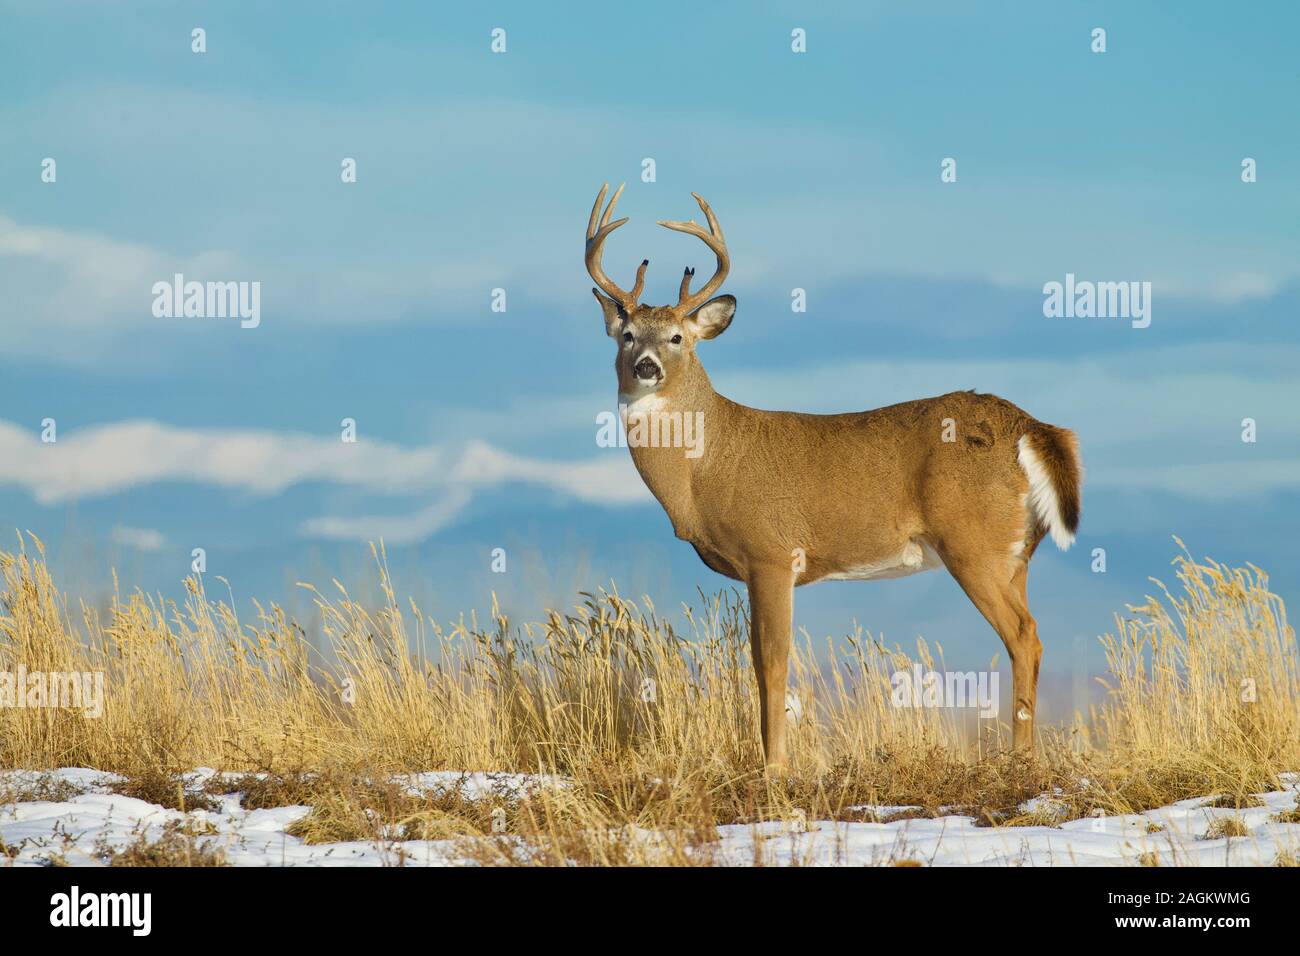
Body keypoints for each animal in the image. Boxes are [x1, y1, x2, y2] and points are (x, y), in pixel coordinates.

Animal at [585, 184, 1081, 770]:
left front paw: (775, 765)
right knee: (1027, 634)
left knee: (1025, 636)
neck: (703, 470)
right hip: (1017, 553)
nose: (646, 366)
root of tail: (1032, 427)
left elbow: (772, 663)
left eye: (679, 337)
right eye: (627, 334)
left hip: (973, 543)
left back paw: (1019, 759)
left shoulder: (771, 552)